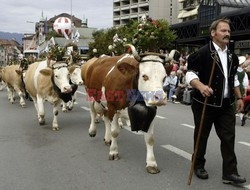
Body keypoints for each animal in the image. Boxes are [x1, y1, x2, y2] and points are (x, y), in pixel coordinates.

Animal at [81, 44, 178, 174]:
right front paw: (113, 152)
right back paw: (92, 131)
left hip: (106, 105)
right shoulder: (113, 107)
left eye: (164, 78)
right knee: (93, 112)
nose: (160, 98)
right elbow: (115, 131)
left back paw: (107, 139)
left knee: (106, 119)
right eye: (144, 76)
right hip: (91, 95)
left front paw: (151, 163)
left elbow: (150, 138)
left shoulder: (152, 112)